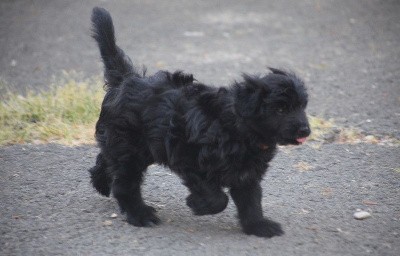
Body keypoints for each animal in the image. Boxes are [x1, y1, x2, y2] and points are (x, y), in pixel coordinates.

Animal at [89, 7, 310, 238]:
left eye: (302, 106)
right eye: (281, 109)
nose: (305, 130)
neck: (238, 128)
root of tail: (126, 79)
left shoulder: (246, 173)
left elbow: (251, 201)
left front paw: (258, 226)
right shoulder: (189, 158)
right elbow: (218, 198)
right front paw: (197, 204)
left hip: (135, 147)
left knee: (106, 162)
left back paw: (101, 183)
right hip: (130, 149)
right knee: (125, 184)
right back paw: (140, 215)